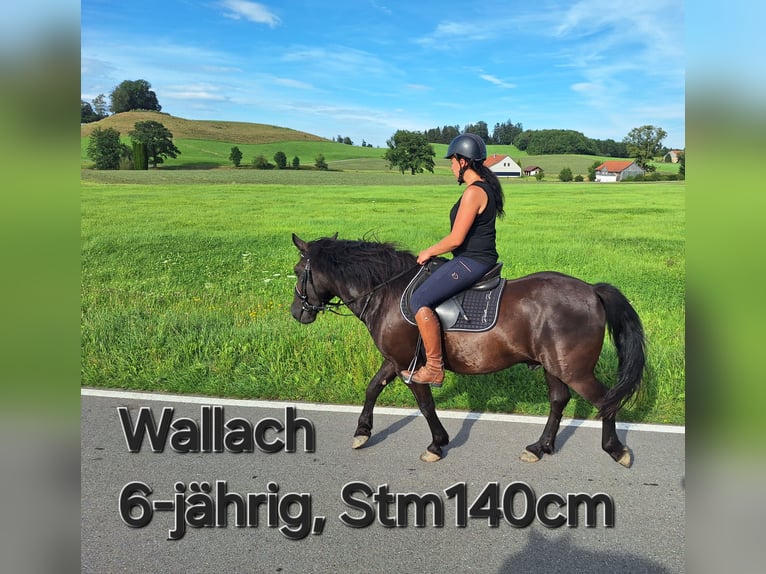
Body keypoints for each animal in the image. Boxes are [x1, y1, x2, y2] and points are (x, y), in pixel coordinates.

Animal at [292, 234, 644, 468]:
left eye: (297, 271)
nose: (297, 312)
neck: (387, 292)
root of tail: (592, 291)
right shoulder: (395, 360)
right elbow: (372, 388)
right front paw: (362, 432)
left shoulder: (410, 363)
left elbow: (425, 405)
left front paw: (437, 444)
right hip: (553, 367)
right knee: (559, 400)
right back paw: (539, 447)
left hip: (574, 369)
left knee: (605, 400)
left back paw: (616, 450)